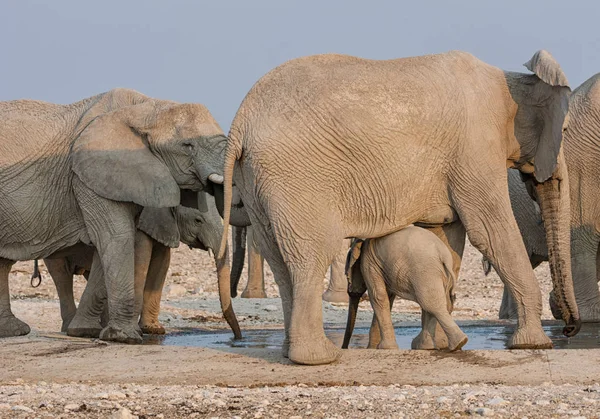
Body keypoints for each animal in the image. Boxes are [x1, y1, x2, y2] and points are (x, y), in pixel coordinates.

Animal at [0, 88, 239, 344]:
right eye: (187, 145)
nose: (237, 338)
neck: (147, 109)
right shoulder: (91, 175)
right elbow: (117, 237)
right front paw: (126, 337)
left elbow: (116, 246)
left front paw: (87, 332)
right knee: (57, 273)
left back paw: (15, 330)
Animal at [212, 49, 580, 366]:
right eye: (563, 129)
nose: (568, 329)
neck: (511, 80)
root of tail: (241, 120)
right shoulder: (475, 148)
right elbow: (490, 230)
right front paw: (533, 344)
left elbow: (447, 238)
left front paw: (432, 347)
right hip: (295, 177)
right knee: (310, 254)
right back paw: (319, 357)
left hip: (256, 178)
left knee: (276, 255)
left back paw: (292, 353)